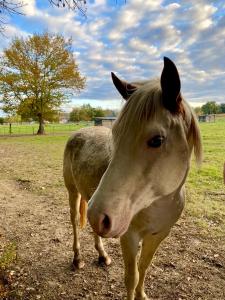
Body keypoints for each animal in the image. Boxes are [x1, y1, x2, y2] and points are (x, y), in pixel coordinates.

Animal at [63, 57, 202, 298]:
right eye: (115, 135)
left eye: (157, 140)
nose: (100, 215)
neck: (158, 202)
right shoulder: (129, 236)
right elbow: (131, 277)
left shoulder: (158, 235)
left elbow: (144, 268)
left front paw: (142, 294)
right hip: (74, 193)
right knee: (74, 223)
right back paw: (77, 258)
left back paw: (102, 255)